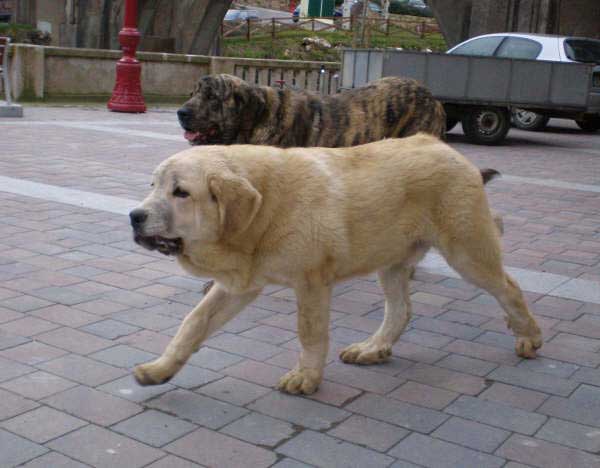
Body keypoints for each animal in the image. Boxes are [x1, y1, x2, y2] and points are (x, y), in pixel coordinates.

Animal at [129, 135, 540, 394]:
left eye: (181, 193)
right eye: (153, 186)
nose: (134, 216)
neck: (267, 210)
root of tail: (447, 147)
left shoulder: (311, 281)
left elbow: (309, 333)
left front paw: (306, 377)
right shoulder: (239, 285)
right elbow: (192, 324)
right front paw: (161, 369)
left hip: (467, 251)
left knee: (509, 287)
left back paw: (528, 335)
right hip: (391, 260)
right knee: (401, 310)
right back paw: (373, 348)